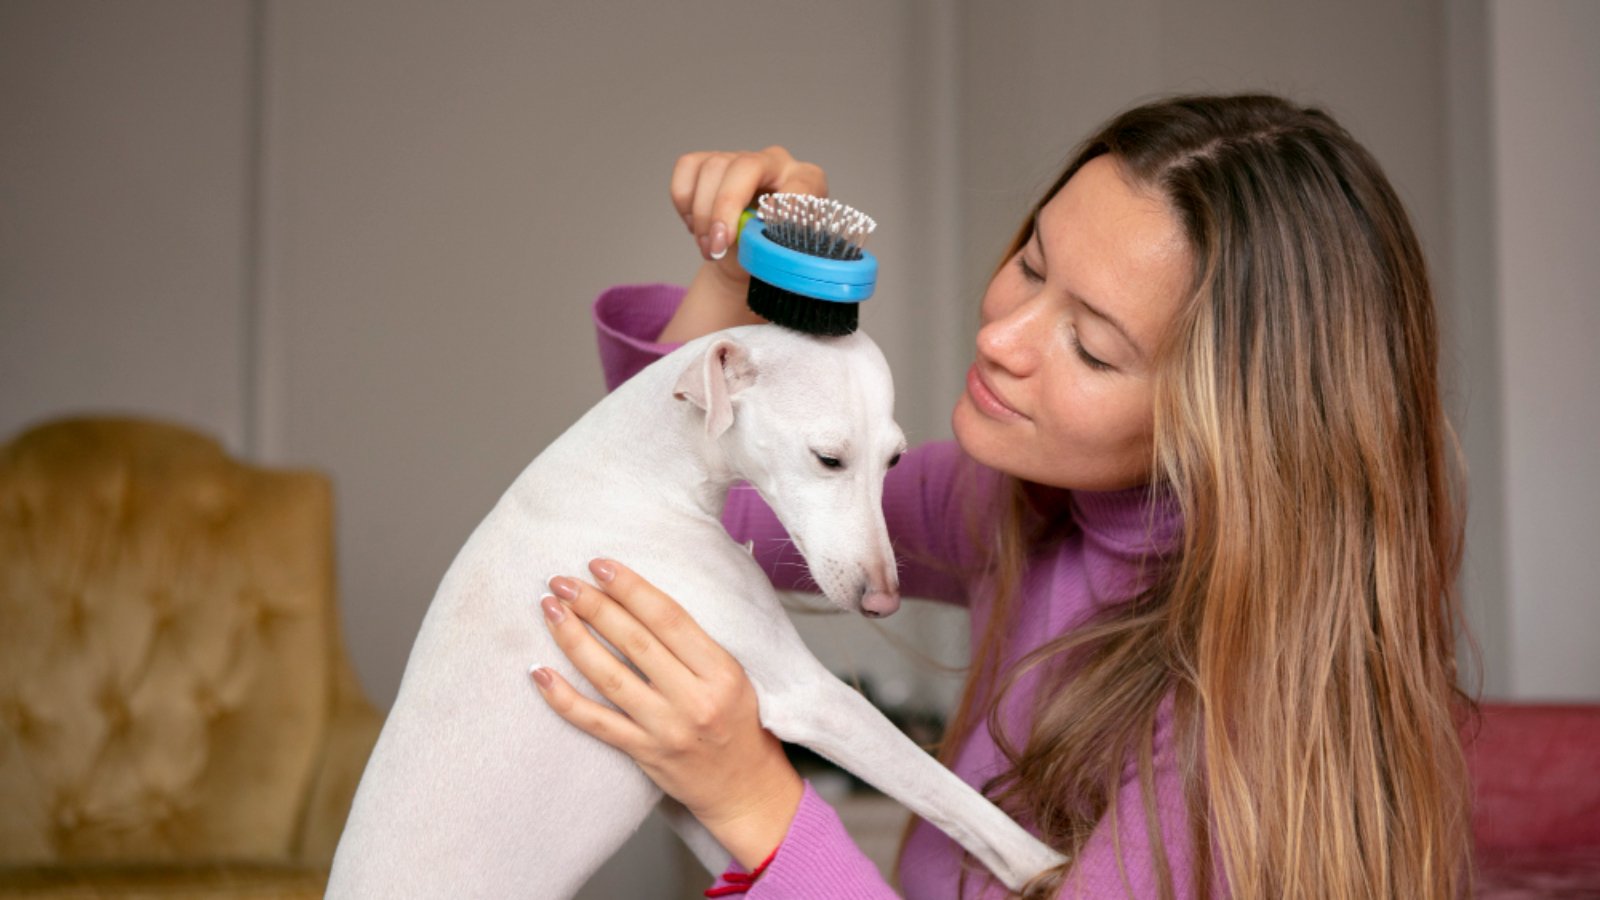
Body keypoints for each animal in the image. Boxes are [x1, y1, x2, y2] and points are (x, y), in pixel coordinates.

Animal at [324, 320, 1062, 890]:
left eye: (897, 462)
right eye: (828, 458)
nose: (882, 600)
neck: (632, 475)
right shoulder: (810, 697)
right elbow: (950, 796)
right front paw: (1046, 865)